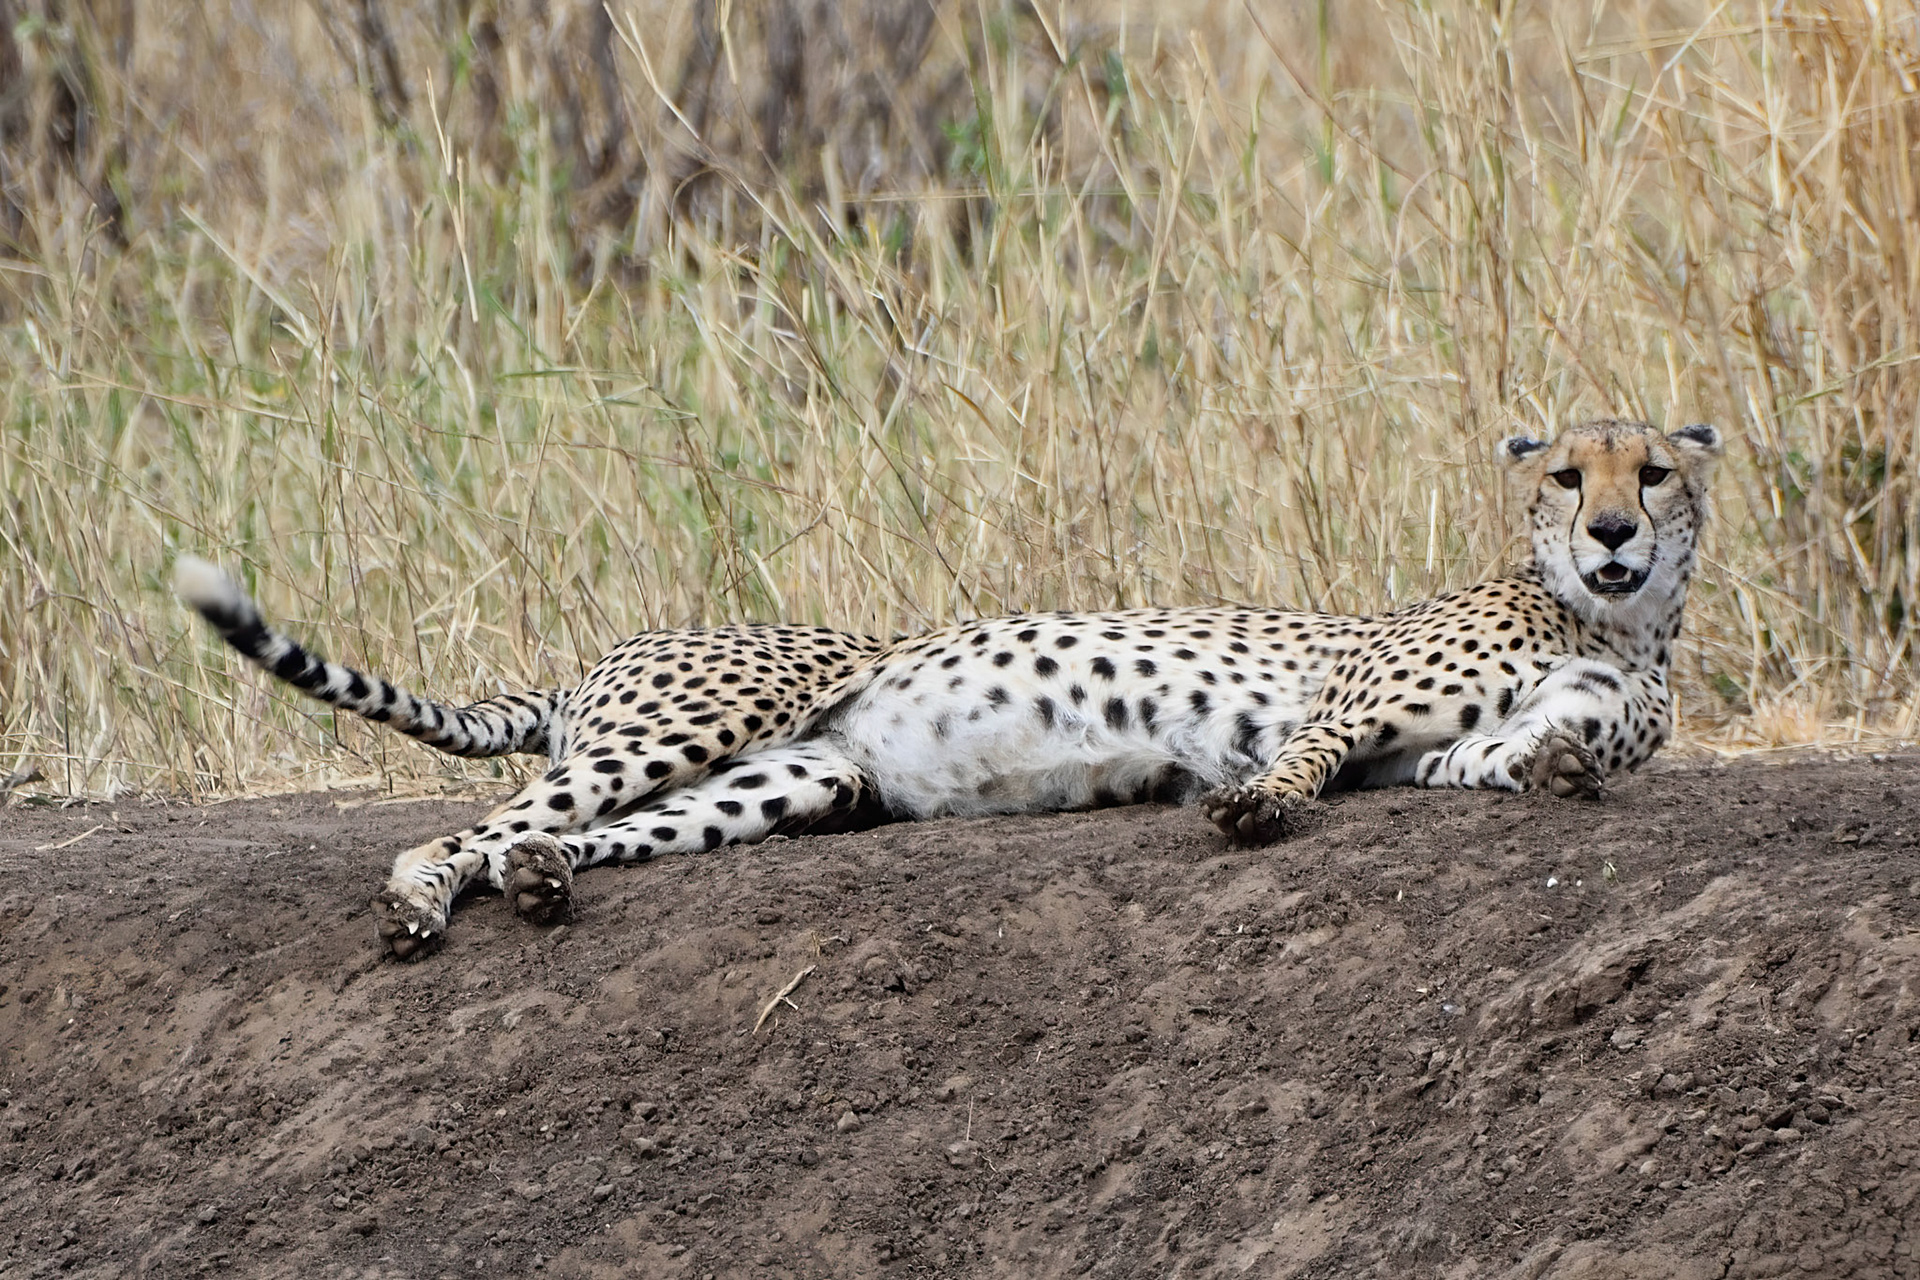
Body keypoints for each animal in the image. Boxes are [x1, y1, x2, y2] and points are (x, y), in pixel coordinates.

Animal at [175, 417, 1721, 960]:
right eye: (1564, 473)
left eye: (1652, 469)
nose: (1612, 531)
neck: (1613, 621)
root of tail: (588, 661)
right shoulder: (1344, 708)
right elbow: (1297, 764)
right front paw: (1255, 812)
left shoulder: (1453, 750)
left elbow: (1522, 757)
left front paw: (1556, 765)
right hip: (704, 718)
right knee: (460, 829)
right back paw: (421, 908)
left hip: (794, 777)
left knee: (570, 837)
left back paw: (545, 883)